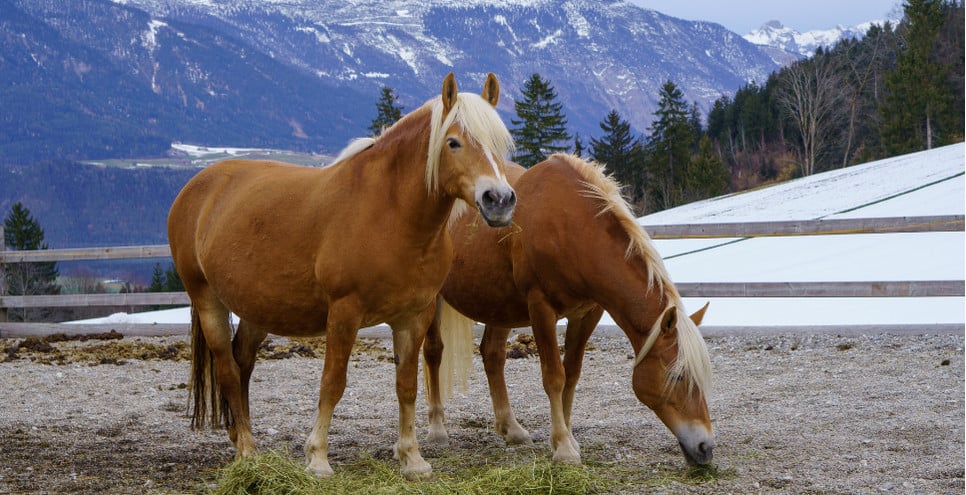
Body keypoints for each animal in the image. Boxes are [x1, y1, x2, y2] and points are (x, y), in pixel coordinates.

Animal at [166, 71, 520, 478]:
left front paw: (412, 458)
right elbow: (333, 383)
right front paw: (317, 458)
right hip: (208, 299)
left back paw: (239, 435)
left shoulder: (413, 317)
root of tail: (198, 187)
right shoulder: (344, 314)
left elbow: (406, 385)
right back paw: (248, 451)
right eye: (454, 142)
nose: (499, 200)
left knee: (243, 364)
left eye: (500, 143)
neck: (389, 215)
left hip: (258, 308)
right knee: (226, 368)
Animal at [426, 155, 720, 468]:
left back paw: (511, 429)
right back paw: (437, 430)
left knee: (492, 354)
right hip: (432, 300)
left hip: (499, 305)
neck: (570, 227)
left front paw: (567, 437)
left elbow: (572, 374)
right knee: (433, 353)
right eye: (677, 377)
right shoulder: (540, 309)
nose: (705, 447)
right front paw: (564, 448)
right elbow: (554, 377)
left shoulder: (587, 314)